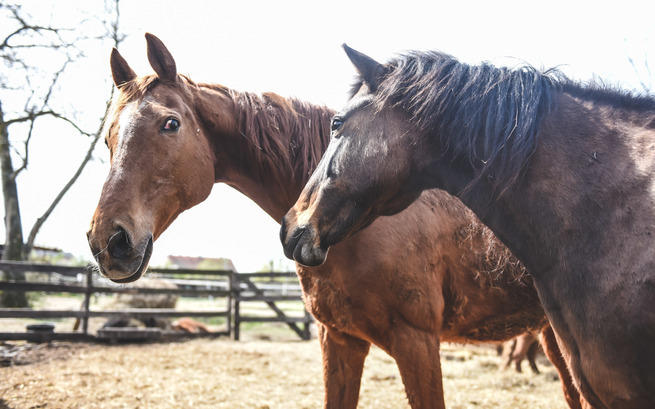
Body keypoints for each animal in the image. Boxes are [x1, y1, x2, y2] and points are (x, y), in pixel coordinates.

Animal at [86, 35, 576, 408]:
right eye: (108, 137)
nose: (108, 242)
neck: (358, 227)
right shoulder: (339, 341)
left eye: (170, 124)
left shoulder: (417, 343)